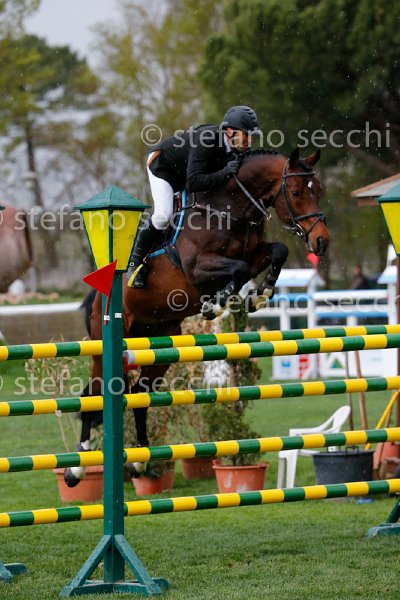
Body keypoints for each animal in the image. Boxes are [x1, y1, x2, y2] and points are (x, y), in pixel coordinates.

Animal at [64, 147, 329, 487]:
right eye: (296, 192)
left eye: (317, 190)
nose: (322, 241)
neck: (229, 208)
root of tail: (99, 296)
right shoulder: (196, 267)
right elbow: (239, 269)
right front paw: (216, 304)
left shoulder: (255, 253)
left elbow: (276, 252)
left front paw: (259, 294)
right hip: (104, 347)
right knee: (93, 395)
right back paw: (76, 469)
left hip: (158, 346)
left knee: (138, 395)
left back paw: (139, 462)